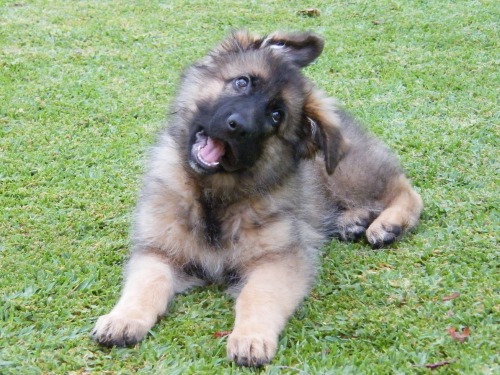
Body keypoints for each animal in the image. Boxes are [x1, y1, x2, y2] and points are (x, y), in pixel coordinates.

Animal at [91, 30, 422, 368]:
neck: (214, 198)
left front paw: (251, 337)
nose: (239, 127)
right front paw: (124, 319)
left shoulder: (279, 260)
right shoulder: (158, 251)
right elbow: (146, 285)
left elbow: (258, 296)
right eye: (242, 82)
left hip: (346, 173)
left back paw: (387, 225)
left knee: (404, 189)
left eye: (276, 116)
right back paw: (351, 221)